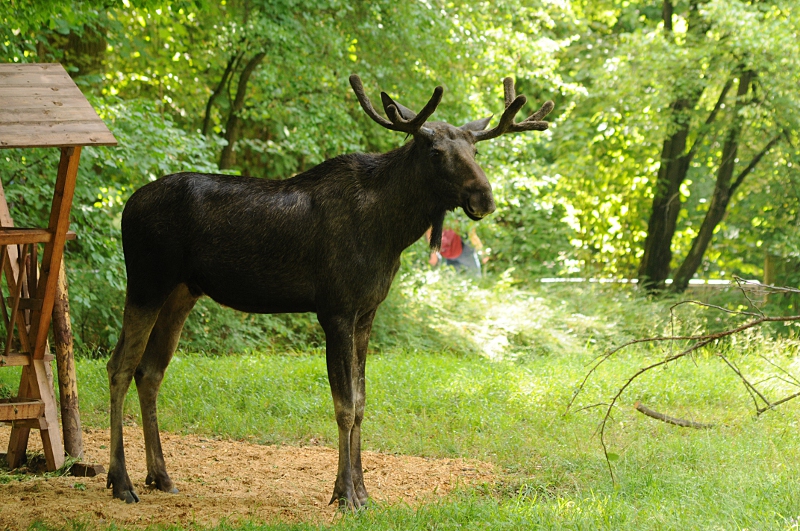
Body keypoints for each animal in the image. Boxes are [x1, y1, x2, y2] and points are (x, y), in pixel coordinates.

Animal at [105, 74, 554, 508]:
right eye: (435, 152)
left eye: (474, 150)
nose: (484, 197)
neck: (390, 232)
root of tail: (125, 207)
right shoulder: (335, 309)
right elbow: (344, 406)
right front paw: (344, 494)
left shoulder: (366, 312)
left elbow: (362, 403)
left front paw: (364, 493)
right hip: (146, 281)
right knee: (120, 367)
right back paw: (121, 481)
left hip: (182, 292)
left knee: (150, 372)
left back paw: (160, 476)